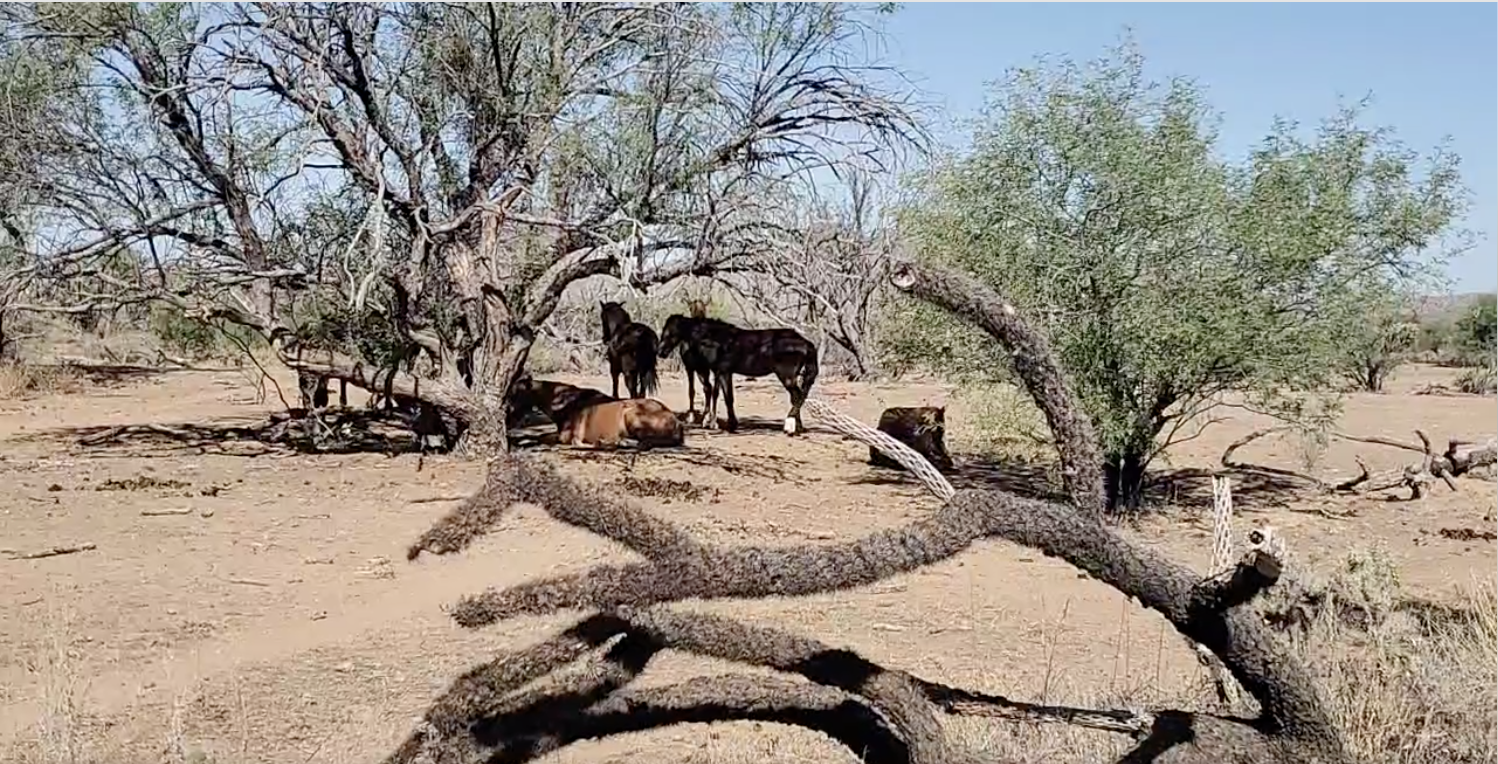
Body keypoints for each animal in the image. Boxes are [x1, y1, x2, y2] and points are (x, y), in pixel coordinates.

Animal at [509, 376, 683, 449]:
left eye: (516, 393)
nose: (509, 415)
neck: (565, 400)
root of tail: (675, 420)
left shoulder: (566, 436)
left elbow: (542, 437)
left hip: (631, 415)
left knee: (645, 442)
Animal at [656, 314, 819, 435]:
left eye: (670, 332)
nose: (661, 352)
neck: (717, 340)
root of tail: (806, 343)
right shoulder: (719, 372)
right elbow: (719, 395)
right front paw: (716, 423)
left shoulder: (724, 372)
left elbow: (728, 398)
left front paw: (731, 425)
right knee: (797, 397)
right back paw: (798, 427)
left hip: (787, 377)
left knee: (797, 396)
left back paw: (790, 426)